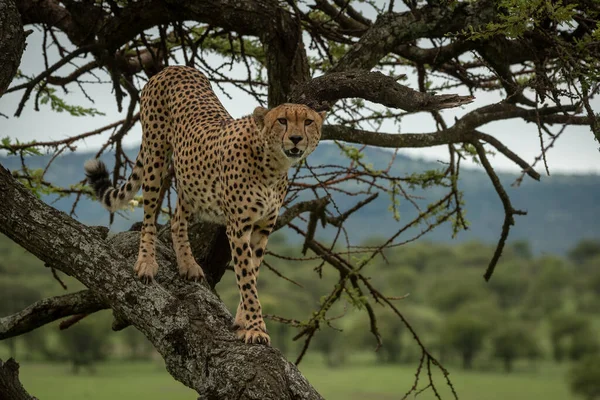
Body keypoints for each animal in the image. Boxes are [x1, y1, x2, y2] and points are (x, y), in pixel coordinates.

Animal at [85, 65, 324, 344]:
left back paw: (188, 265)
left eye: (308, 122)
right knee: (149, 217)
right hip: (156, 154)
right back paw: (146, 263)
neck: (273, 164)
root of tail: (174, 67)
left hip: (193, 183)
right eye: (282, 121)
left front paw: (244, 322)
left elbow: (252, 274)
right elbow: (246, 278)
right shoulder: (238, 227)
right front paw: (255, 327)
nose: (296, 138)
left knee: (177, 219)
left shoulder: (263, 227)